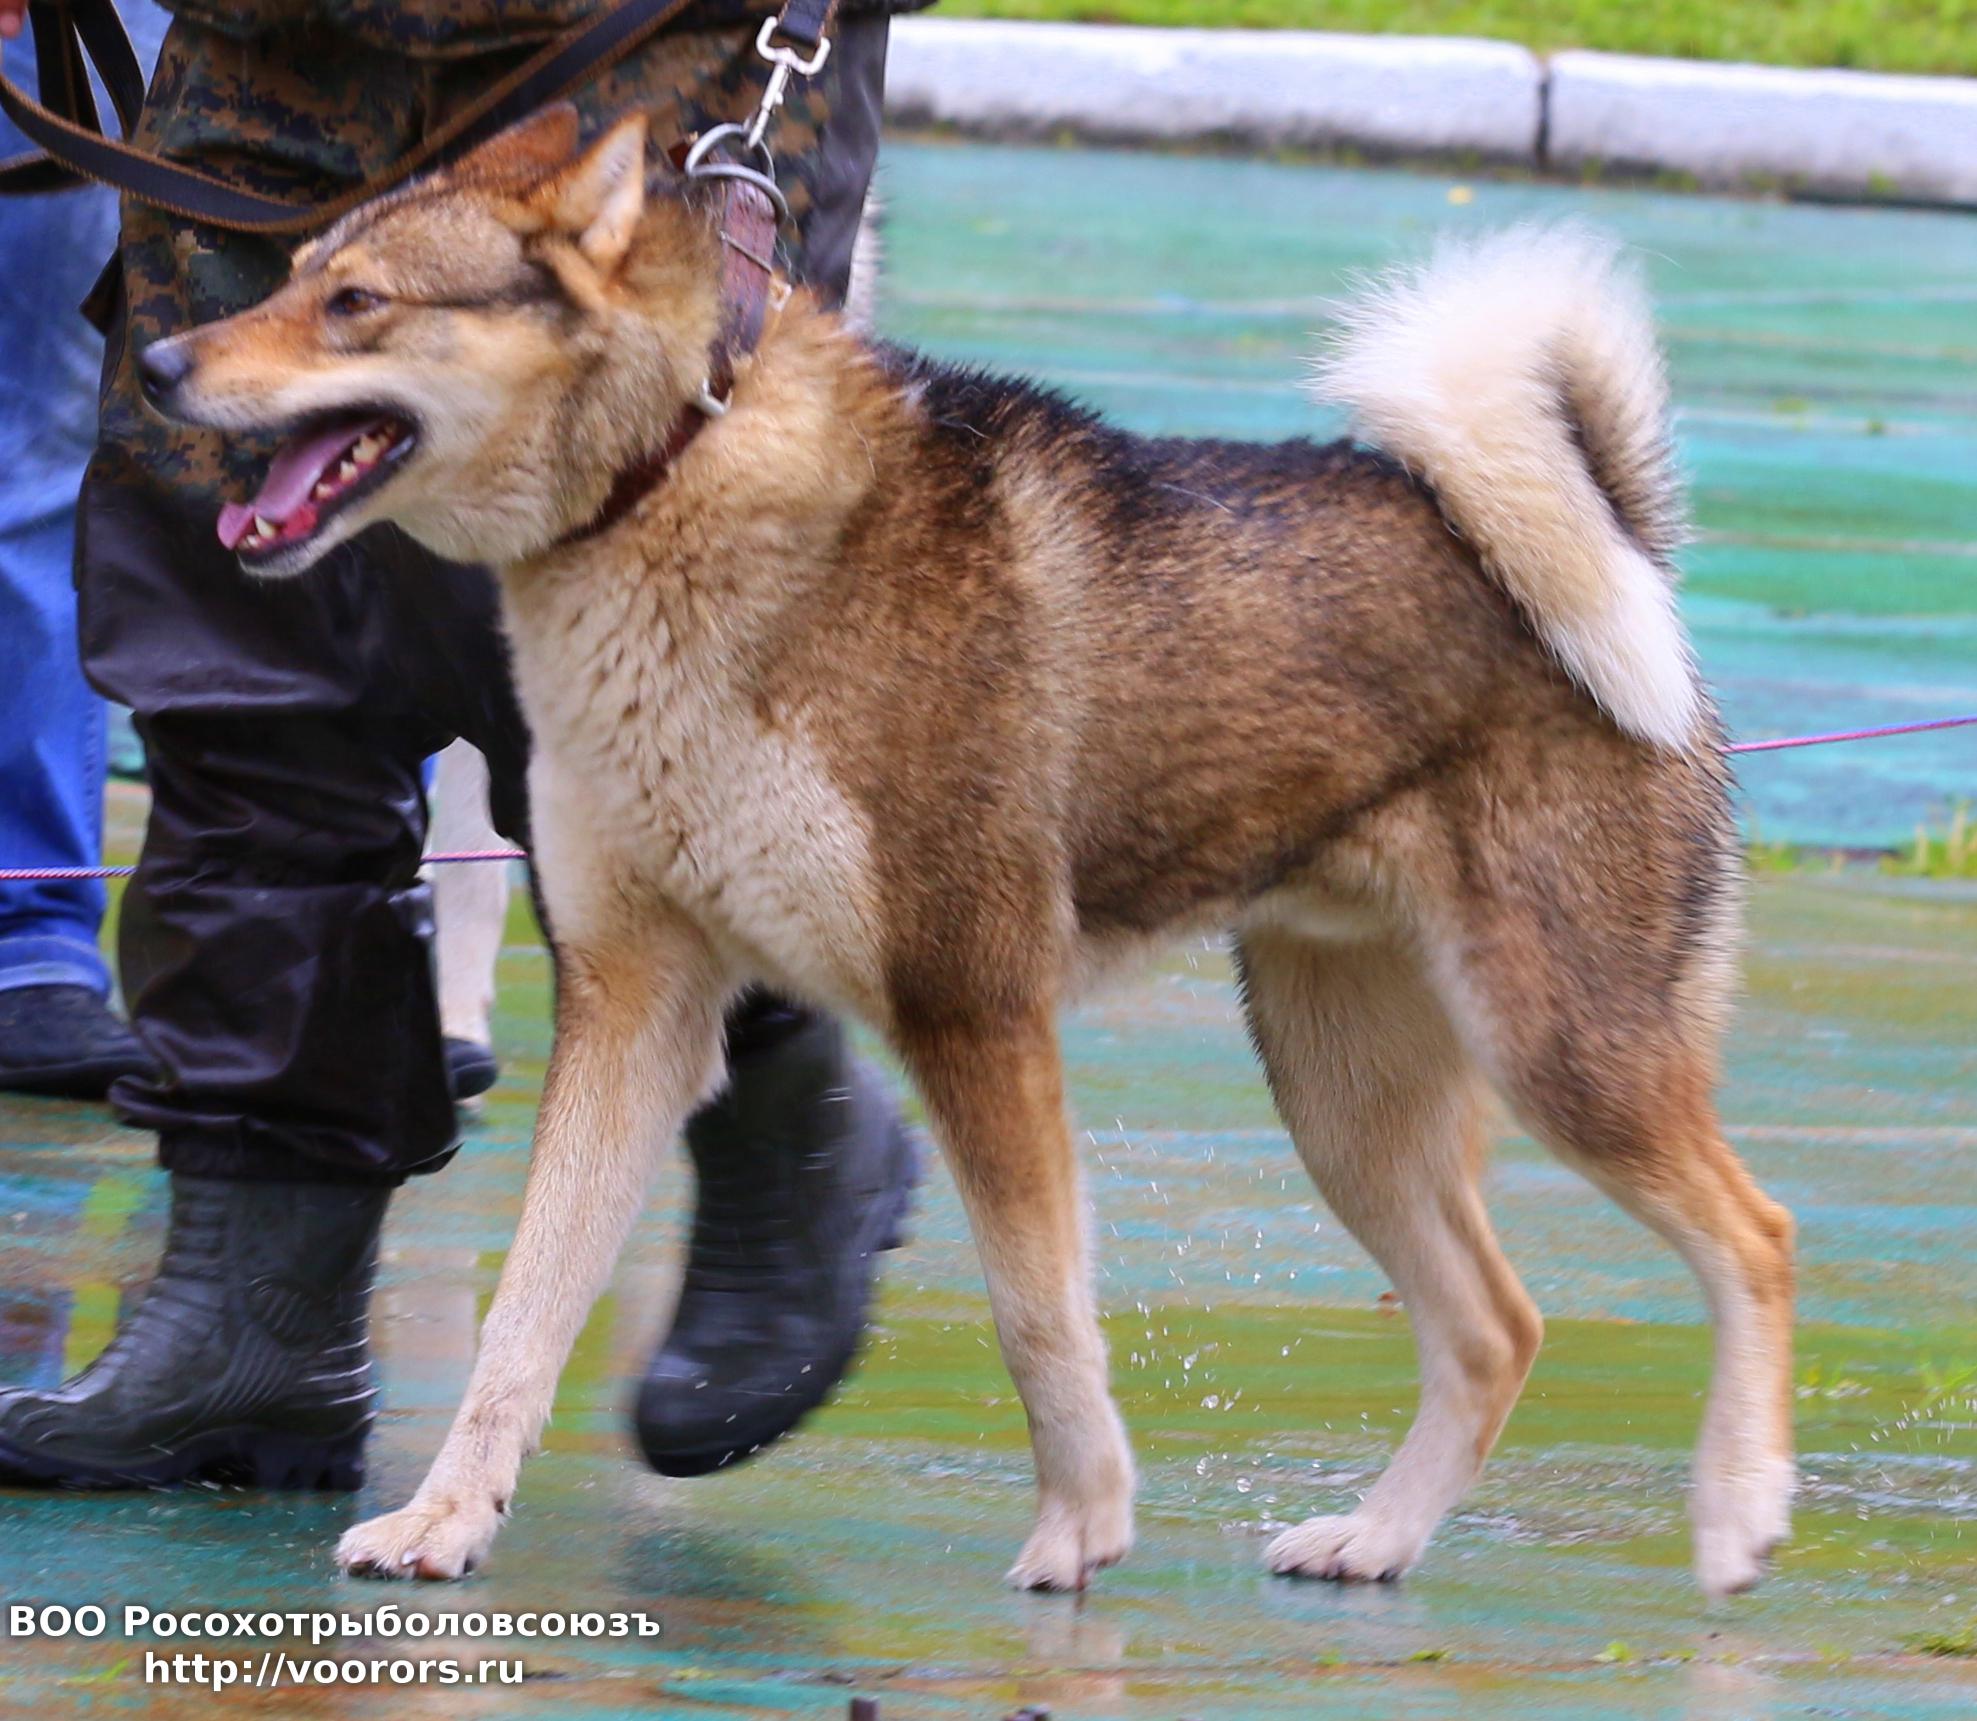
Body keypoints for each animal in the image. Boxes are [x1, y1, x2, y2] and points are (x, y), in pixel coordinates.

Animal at [136, 105, 1795, 1598]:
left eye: (358, 303)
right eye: (293, 273)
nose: (156, 366)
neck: (676, 475)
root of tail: (1613, 550)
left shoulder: (972, 1008)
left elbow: (1036, 1310)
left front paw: (1082, 1525)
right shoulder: (632, 1006)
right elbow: (523, 1314)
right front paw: (445, 1518)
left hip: (1560, 1052)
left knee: (1754, 1236)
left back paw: (1736, 1508)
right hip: (1345, 1102)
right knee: (1496, 1328)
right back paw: (1378, 1538)